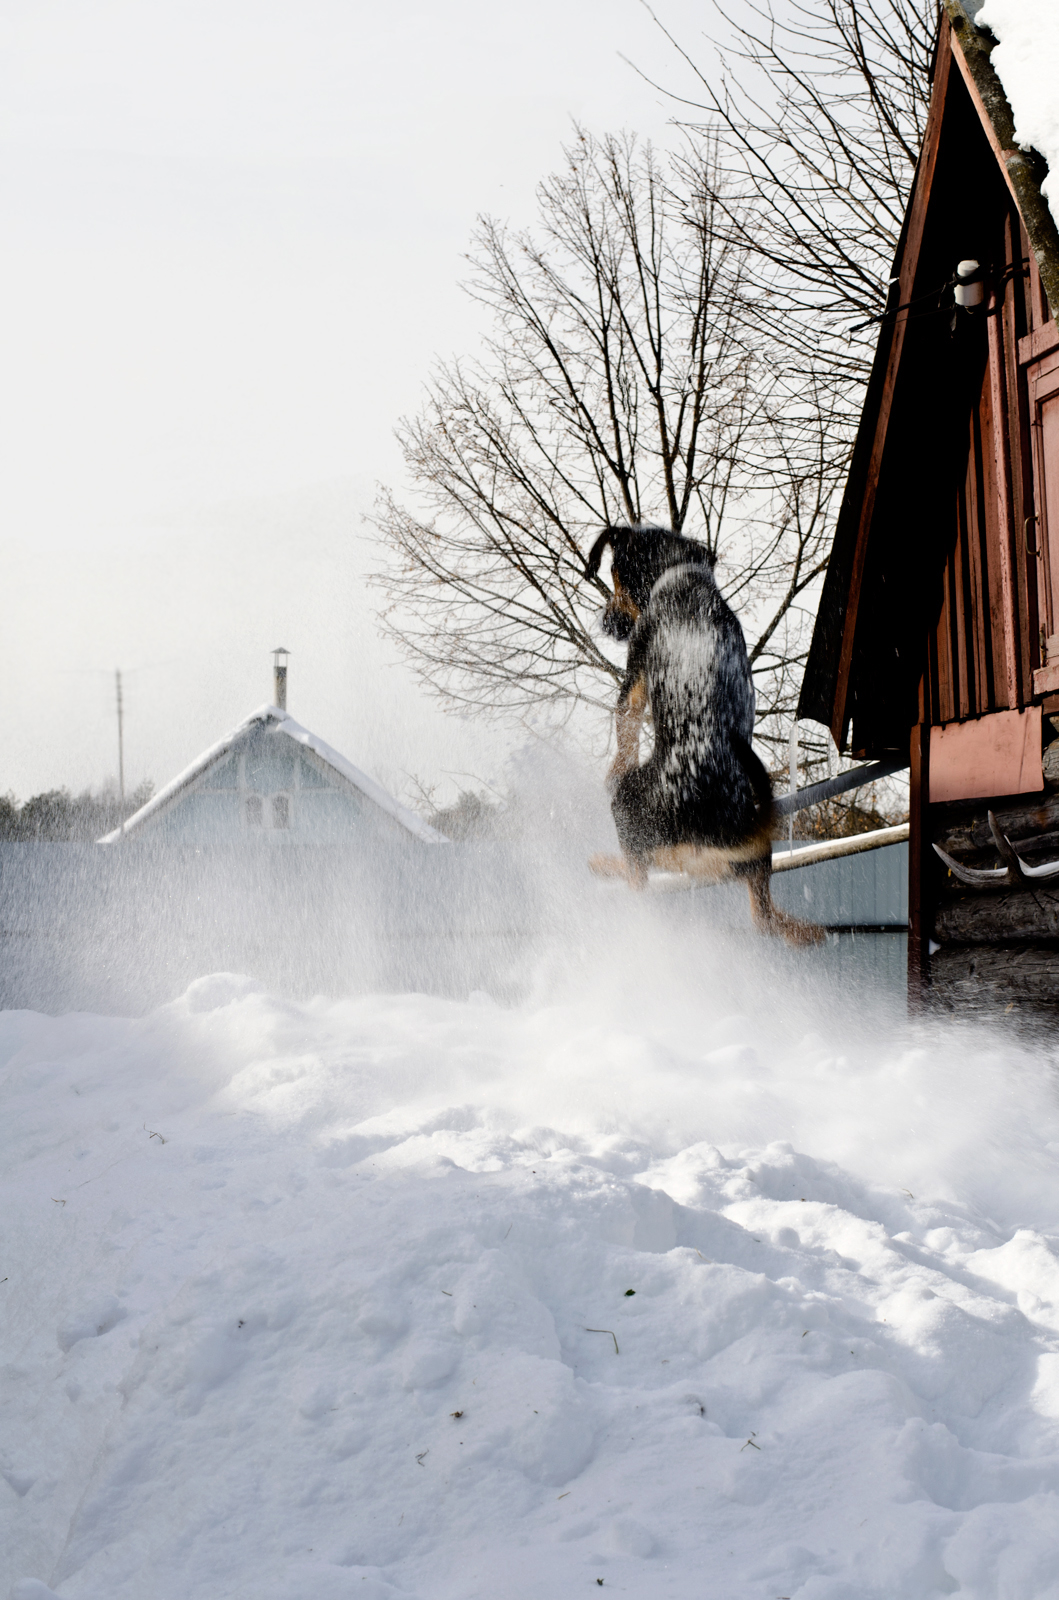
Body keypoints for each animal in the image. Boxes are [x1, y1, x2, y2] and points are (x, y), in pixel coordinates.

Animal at [585, 524, 825, 947]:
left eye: (614, 577)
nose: (607, 624)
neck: (681, 570)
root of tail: (705, 830)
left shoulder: (634, 680)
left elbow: (625, 732)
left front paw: (613, 767)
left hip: (629, 808)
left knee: (637, 878)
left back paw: (605, 867)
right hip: (757, 852)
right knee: (763, 917)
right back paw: (800, 930)